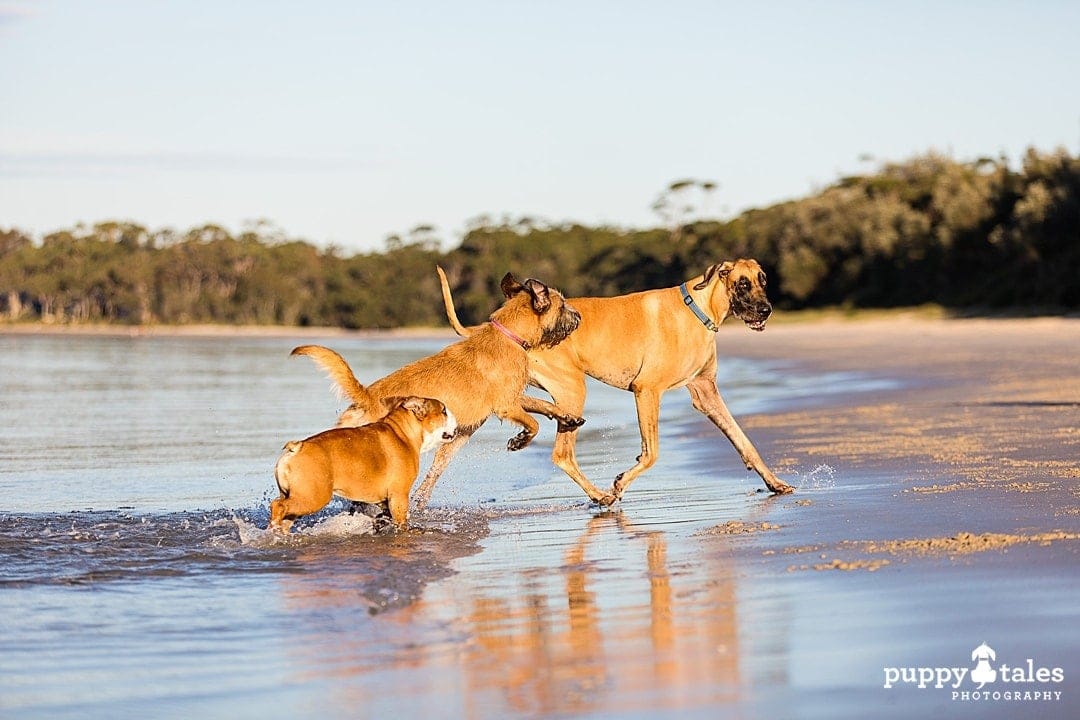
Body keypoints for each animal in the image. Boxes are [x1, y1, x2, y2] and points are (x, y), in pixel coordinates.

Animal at [272, 397, 457, 533]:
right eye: (443, 411)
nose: (455, 418)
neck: (403, 433)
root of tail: (298, 447)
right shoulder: (399, 497)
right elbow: (401, 521)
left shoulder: (384, 501)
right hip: (313, 498)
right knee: (277, 506)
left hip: (293, 497)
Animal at [291, 269, 587, 507]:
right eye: (563, 305)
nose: (580, 317)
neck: (508, 334)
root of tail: (367, 397)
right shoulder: (506, 405)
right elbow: (533, 423)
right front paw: (520, 440)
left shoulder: (515, 397)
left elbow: (545, 405)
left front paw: (568, 417)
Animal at [434, 260, 799, 507]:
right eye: (742, 284)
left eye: (762, 280)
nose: (766, 310)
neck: (699, 309)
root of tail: (492, 326)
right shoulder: (647, 391)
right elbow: (651, 453)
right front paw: (621, 483)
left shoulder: (706, 393)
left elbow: (743, 440)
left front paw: (774, 482)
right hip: (573, 387)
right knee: (561, 453)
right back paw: (600, 495)